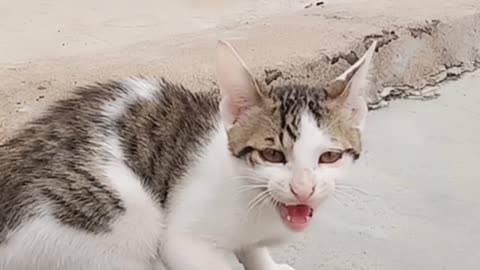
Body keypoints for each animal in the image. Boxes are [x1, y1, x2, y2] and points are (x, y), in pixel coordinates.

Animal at [0, 40, 376, 270]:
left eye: (329, 157)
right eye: (272, 154)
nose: (303, 189)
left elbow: (254, 249)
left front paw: (265, 262)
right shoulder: (184, 241)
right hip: (125, 211)